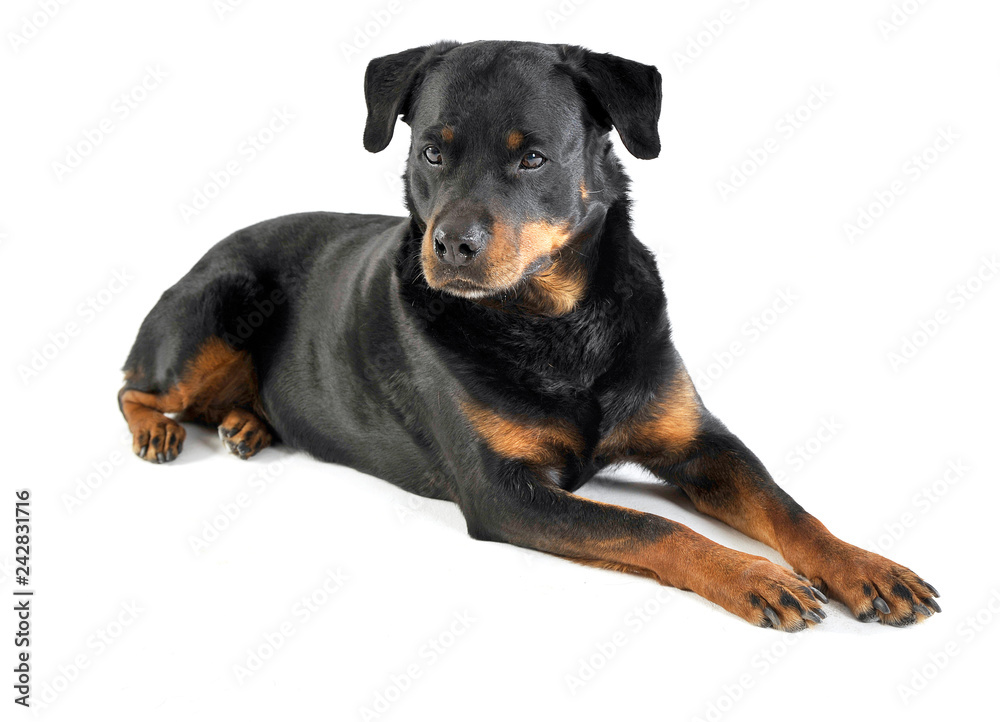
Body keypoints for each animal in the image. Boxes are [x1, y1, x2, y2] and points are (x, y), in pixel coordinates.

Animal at [117, 39, 936, 628]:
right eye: (432, 151)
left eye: (533, 156)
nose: (451, 244)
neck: (556, 325)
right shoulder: (505, 491)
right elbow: (649, 528)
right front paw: (754, 575)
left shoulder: (697, 443)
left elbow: (786, 505)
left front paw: (865, 567)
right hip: (220, 297)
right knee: (131, 384)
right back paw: (159, 430)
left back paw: (247, 424)